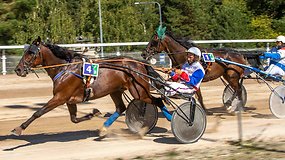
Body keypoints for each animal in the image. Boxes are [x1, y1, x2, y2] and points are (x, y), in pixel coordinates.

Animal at [12, 36, 166, 136]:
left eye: (30, 52)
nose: (18, 69)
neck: (65, 68)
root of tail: (140, 63)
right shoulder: (69, 100)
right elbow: (74, 119)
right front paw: (93, 113)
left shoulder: (60, 97)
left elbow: (38, 112)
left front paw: (18, 129)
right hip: (116, 90)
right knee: (121, 108)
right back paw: (103, 129)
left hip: (139, 91)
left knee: (158, 101)